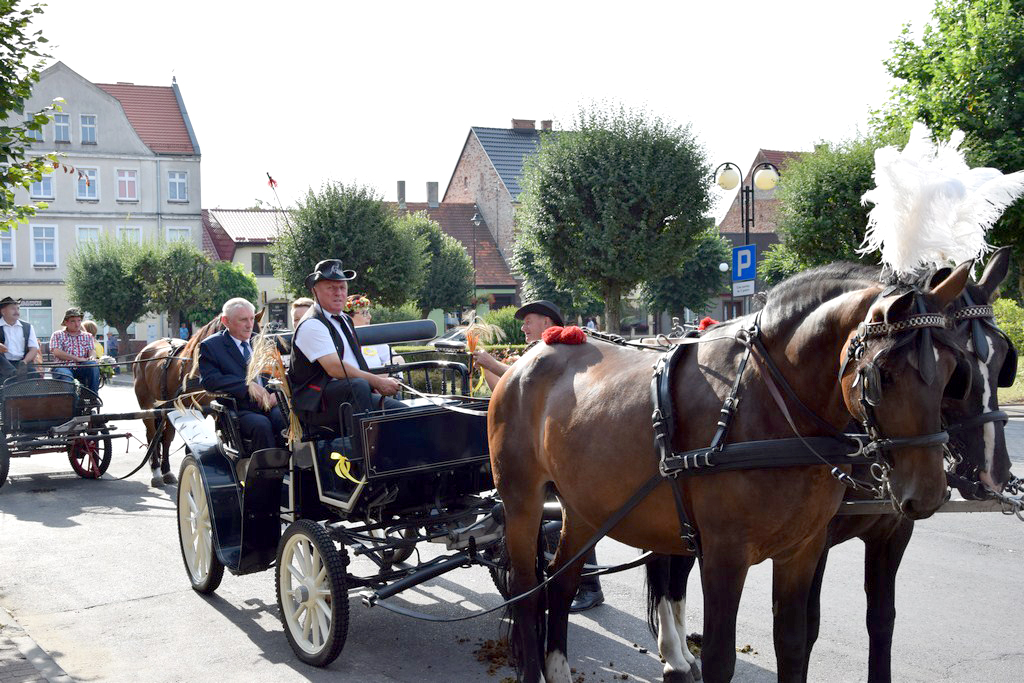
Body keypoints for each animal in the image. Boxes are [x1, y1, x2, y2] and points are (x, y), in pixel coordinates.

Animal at [491, 266, 970, 683]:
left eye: (952, 370)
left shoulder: (803, 549)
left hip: (586, 507)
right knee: (527, 589)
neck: (768, 402)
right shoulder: (724, 554)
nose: (929, 493)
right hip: (522, 502)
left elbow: (794, 643)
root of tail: (529, 355)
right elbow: (720, 657)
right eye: (881, 374)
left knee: (561, 583)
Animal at [647, 250, 1015, 683]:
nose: (994, 472)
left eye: (1004, 360)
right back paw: (674, 655)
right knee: (666, 565)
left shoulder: (892, 532)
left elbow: (881, 618)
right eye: (963, 368)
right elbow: (809, 626)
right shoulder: (814, 539)